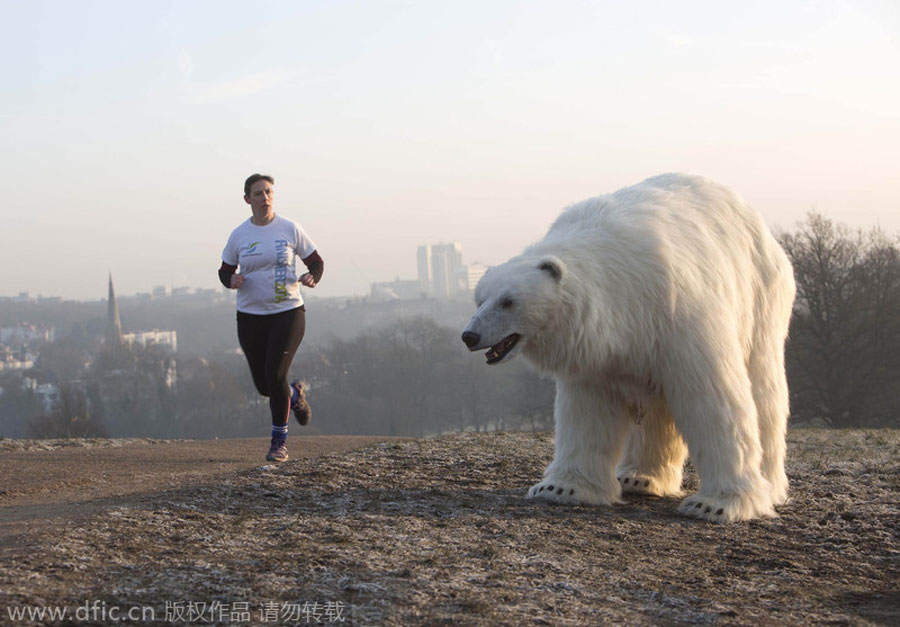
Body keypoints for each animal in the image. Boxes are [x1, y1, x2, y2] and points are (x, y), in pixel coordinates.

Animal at [464, 174, 796, 524]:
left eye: (508, 301)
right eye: (479, 298)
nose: (469, 336)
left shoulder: (677, 313)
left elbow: (711, 396)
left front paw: (716, 505)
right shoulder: (596, 351)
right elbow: (589, 411)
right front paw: (560, 488)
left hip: (761, 294)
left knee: (763, 388)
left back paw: (769, 485)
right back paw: (638, 477)